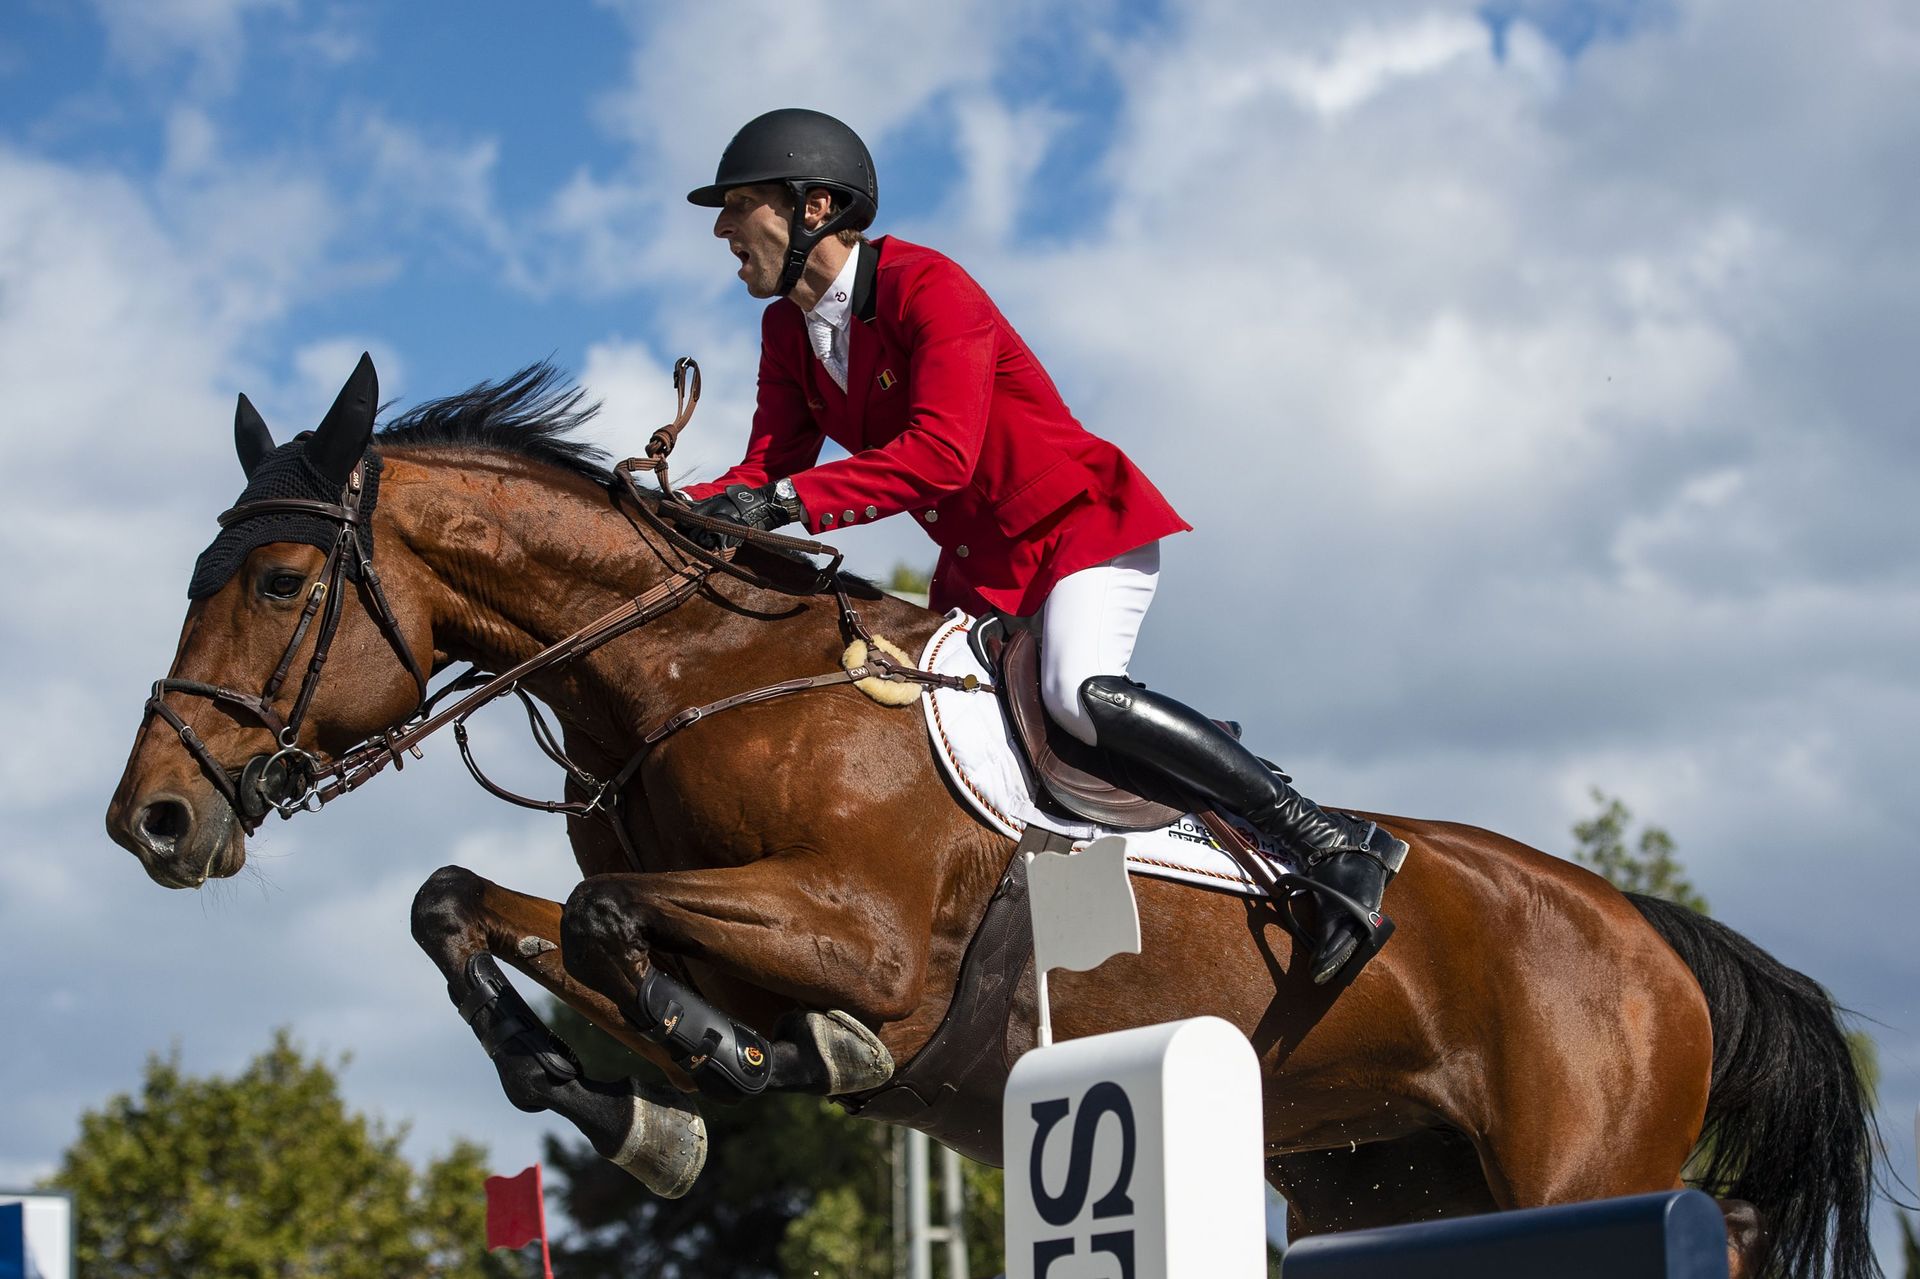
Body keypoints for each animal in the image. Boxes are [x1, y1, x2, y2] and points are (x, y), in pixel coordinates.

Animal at [101, 359, 1873, 1275]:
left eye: (279, 579)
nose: (154, 823)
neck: (690, 675)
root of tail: (1649, 928)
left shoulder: (870, 940)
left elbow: (617, 928)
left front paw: (744, 1064)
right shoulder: (706, 907)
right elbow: (468, 902)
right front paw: (636, 1106)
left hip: (1578, 1159)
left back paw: (1346, 867)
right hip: (1387, 1184)